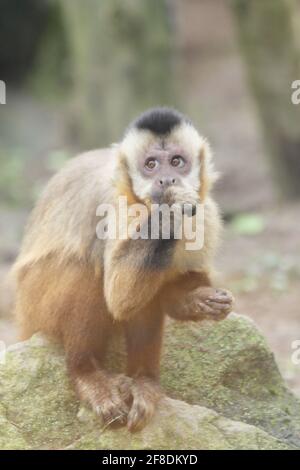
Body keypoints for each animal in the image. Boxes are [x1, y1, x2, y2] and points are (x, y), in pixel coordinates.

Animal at [12, 108, 234, 432]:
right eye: (151, 165)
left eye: (176, 161)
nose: (166, 180)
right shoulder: (117, 204)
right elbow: (119, 295)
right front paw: (168, 209)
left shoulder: (205, 211)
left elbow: (176, 287)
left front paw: (201, 299)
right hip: (34, 305)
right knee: (88, 269)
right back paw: (86, 372)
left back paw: (144, 381)